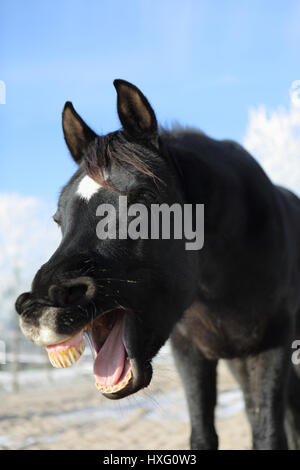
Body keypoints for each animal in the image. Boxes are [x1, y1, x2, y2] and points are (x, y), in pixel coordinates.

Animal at [15, 79, 300, 450]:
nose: (38, 307)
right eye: (58, 218)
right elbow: (204, 435)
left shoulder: (273, 346)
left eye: (143, 199)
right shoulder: (191, 353)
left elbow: (268, 434)